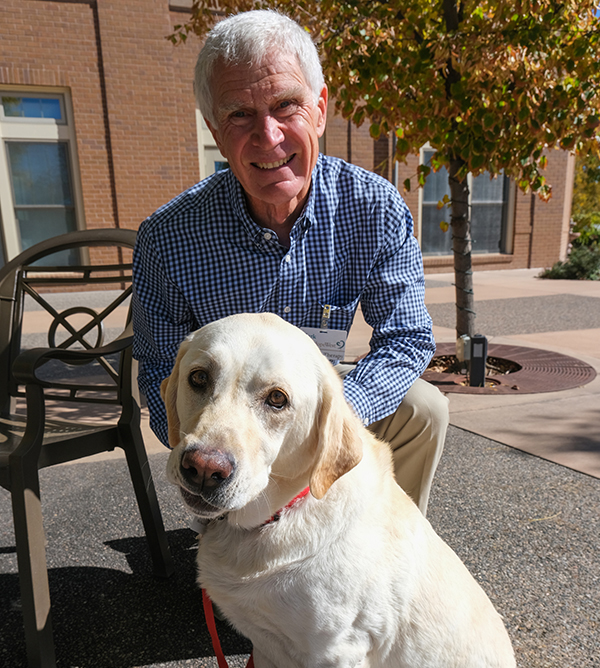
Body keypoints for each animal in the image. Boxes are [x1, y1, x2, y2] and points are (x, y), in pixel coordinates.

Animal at [163, 314, 516, 668]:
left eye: (277, 399)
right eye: (199, 377)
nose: (204, 469)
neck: (281, 514)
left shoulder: (338, 652)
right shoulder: (264, 647)